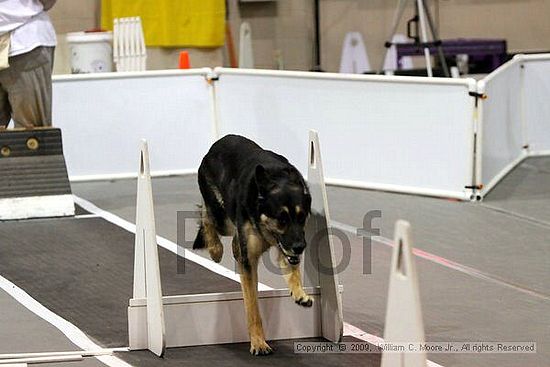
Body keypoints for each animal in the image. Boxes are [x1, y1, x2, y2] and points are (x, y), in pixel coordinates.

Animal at [195, 135, 314, 356]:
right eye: (282, 219)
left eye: (302, 217)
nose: (300, 247)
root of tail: (218, 143)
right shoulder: (250, 260)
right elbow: (252, 307)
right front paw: (258, 342)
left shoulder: (285, 246)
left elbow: (293, 271)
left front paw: (300, 293)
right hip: (223, 218)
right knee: (206, 215)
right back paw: (215, 248)